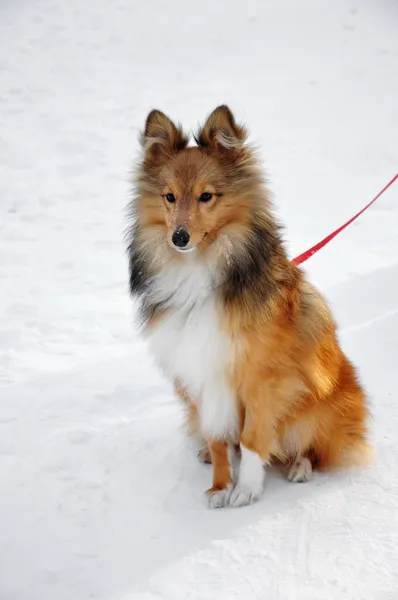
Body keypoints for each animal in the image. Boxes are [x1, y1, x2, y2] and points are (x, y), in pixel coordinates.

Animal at [129, 104, 372, 506]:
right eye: (169, 196)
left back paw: (299, 467)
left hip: (320, 400)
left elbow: (254, 438)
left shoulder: (263, 377)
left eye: (206, 196)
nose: (179, 237)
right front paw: (220, 484)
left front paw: (246, 489)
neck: (202, 269)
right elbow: (218, 437)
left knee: (313, 446)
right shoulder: (201, 372)